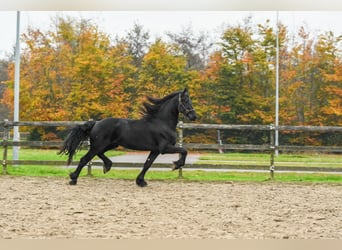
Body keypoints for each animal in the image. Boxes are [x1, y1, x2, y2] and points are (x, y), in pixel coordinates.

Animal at [58, 89, 196, 187]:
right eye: (185, 101)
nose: (194, 116)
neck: (162, 122)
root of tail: (96, 123)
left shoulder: (155, 150)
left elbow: (147, 164)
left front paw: (141, 182)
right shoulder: (165, 148)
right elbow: (184, 151)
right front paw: (176, 165)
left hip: (109, 145)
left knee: (98, 154)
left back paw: (107, 166)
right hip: (99, 145)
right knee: (84, 159)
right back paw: (73, 179)